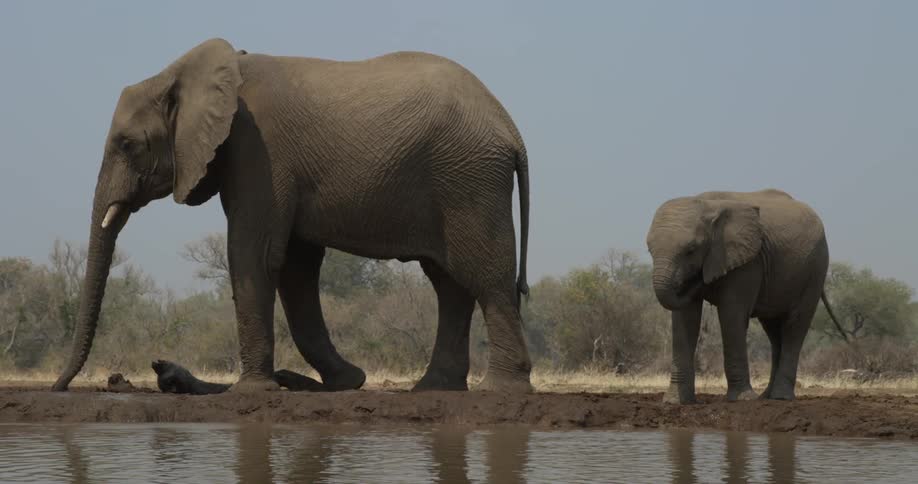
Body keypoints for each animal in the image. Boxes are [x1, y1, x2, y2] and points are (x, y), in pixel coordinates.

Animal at [51, 38, 532, 394]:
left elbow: (254, 254)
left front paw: (251, 391)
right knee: (449, 282)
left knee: (485, 275)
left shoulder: (257, 151)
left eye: (128, 144)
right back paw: (434, 389)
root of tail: (511, 128)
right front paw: (345, 382)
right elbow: (295, 268)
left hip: (469, 179)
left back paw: (499, 389)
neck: (188, 73)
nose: (60, 387)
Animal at [646, 189, 842, 403]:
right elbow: (685, 319)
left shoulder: (747, 262)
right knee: (774, 332)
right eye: (649, 249)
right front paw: (676, 402)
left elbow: (731, 316)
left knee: (795, 326)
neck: (708, 206)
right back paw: (767, 397)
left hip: (815, 270)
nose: (700, 281)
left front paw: (742, 399)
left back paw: (781, 398)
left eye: (691, 250)